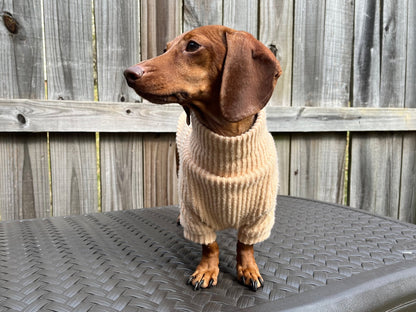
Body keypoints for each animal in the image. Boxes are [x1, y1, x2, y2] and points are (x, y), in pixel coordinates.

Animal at [123, 25, 280, 292]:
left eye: (193, 45)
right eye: (165, 49)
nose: (129, 73)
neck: (228, 142)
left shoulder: (259, 216)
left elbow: (245, 245)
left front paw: (248, 269)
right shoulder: (197, 214)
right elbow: (210, 245)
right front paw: (207, 270)